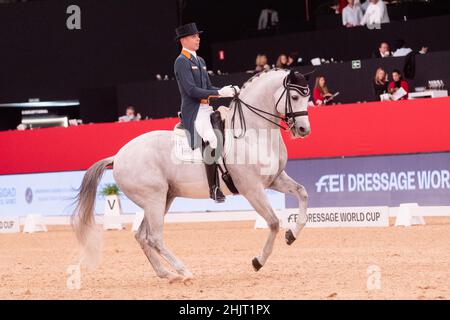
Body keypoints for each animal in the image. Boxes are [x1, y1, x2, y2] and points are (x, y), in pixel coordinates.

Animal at [73, 69, 312, 284]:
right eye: (295, 97)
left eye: (308, 97)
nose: (303, 130)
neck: (252, 134)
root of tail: (118, 155)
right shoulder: (252, 188)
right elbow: (273, 222)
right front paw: (258, 261)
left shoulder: (274, 179)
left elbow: (303, 193)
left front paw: (292, 235)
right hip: (154, 199)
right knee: (154, 237)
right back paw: (184, 271)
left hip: (163, 199)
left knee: (142, 236)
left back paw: (167, 274)